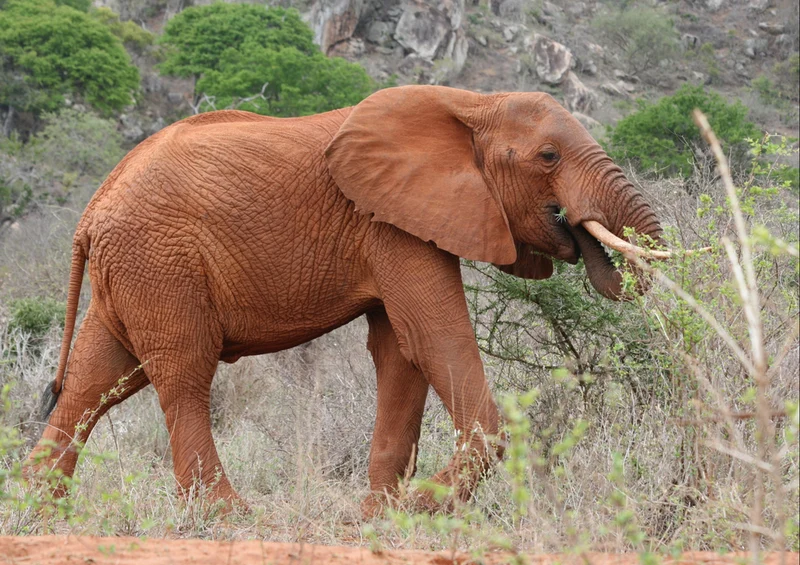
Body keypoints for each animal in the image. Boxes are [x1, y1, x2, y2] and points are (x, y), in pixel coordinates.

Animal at [28, 85, 666, 515]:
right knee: (182, 373)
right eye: (549, 157)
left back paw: (38, 509)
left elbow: (401, 353)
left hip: (134, 270)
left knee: (97, 379)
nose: (589, 241)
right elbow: (434, 338)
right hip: (160, 261)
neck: (471, 103)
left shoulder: (396, 219)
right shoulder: (391, 224)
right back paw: (226, 518)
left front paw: (378, 518)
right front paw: (418, 510)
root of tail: (92, 209)